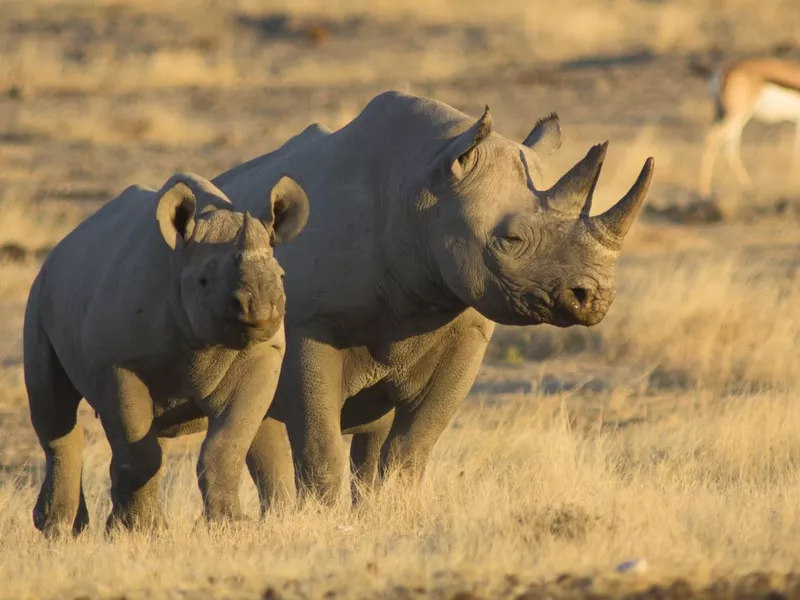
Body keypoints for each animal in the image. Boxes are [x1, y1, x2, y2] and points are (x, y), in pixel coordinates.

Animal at [21, 171, 310, 532]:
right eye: (203, 281)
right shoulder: (118, 363)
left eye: (282, 276)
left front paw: (229, 525)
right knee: (56, 413)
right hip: (39, 292)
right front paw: (142, 531)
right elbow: (141, 451)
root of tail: (60, 248)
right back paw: (62, 529)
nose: (260, 307)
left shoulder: (262, 353)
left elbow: (227, 443)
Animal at [214, 90, 656, 506]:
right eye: (511, 240)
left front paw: (393, 510)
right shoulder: (309, 324)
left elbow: (413, 445)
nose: (594, 298)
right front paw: (320, 518)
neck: (423, 191)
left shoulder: (466, 326)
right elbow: (319, 445)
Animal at [696, 56, 800, 198]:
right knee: (714, 139)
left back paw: (748, 185)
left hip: (725, 117)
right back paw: (705, 190)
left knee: (729, 146)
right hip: (738, 116)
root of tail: (725, 72)